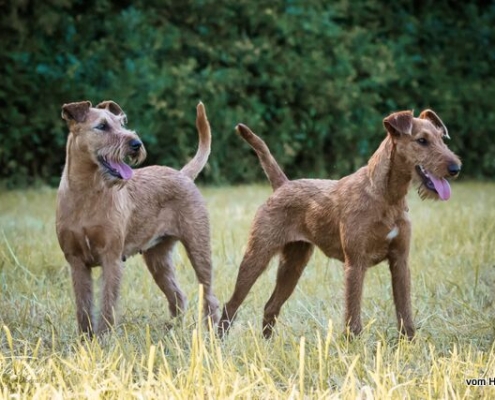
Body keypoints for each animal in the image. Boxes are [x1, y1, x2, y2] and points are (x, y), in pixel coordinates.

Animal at [219, 108, 464, 338]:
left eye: (442, 138)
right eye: (422, 140)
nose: (456, 168)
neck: (386, 197)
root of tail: (282, 184)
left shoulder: (400, 261)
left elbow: (405, 312)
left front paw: (409, 343)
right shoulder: (356, 262)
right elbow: (353, 315)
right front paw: (353, 345)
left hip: (294, 263)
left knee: (270, 306)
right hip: (257, 256)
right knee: (231, 305)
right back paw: (220, 342)